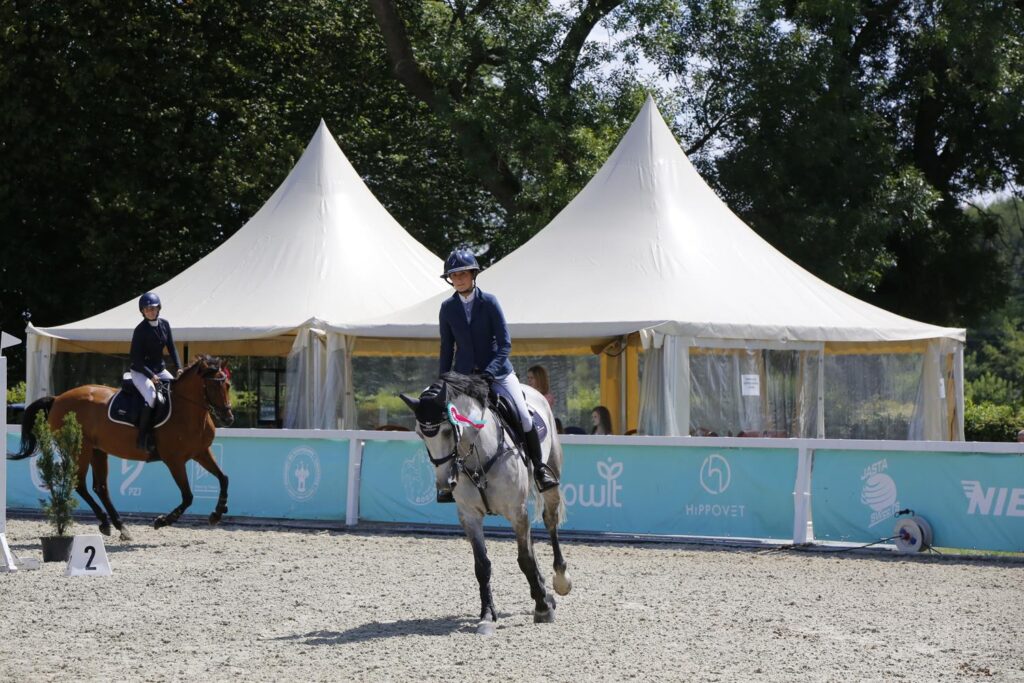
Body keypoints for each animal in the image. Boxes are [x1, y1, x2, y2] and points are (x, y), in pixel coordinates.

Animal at [8, 355, 234, 539]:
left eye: (228, 385)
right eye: (213, 386)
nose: (229, 417)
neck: (187, 410)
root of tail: (57, 399)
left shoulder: (201, 452)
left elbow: (223, 478)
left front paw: (217, 513)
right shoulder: (174, 460)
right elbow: (187, 496)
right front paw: (162, 521)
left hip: (98, 451)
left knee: (101, 487)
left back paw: (119, 526)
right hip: (80, 450)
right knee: (80, 484)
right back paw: (107, 523)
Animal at [400, 372, 572, 635]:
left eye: (448, 431)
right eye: (420, 433)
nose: (445, 484)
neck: (477, 455)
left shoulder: (516, 512)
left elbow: (524, 559)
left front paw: (543, 608)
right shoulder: (470, 516)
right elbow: (482, 566)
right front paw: (488, 615)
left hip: (551, 475)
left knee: (550, 522)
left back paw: (560, 581)